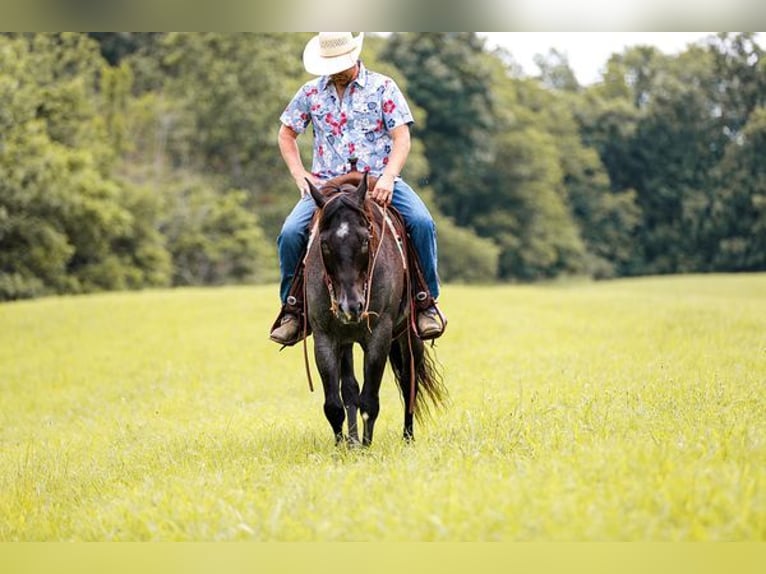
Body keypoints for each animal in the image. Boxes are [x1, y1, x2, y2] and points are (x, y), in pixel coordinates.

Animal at [306, 173, 448, 448]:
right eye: (324, 244)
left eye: (364, 240)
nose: (350, 306)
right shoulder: (325, 337)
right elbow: (334, 404)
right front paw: (343, 448)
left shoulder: (379, 335)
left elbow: (370, 401)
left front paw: (366, 448)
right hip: (346, 341)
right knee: (350, 388)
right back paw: (352, 441)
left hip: (408, 335)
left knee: (409, 381)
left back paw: (407, 438)